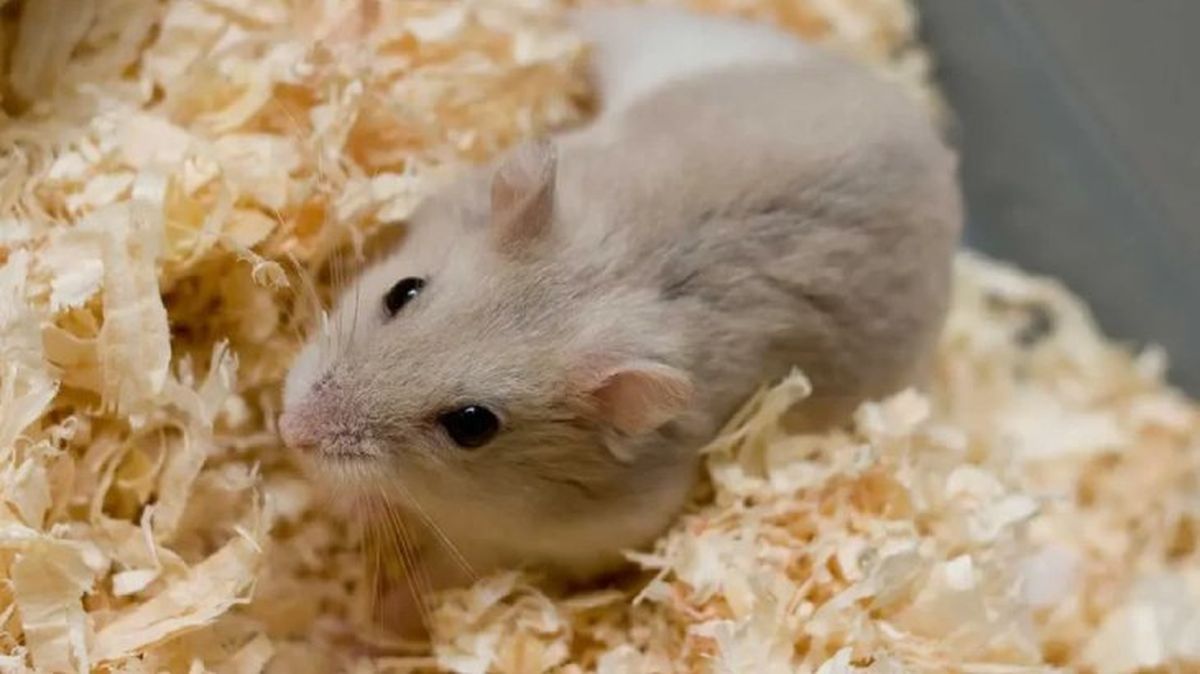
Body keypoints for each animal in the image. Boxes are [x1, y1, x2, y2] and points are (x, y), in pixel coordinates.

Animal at [279, 5, 962, 627]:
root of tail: (933, 144)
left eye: (472, 425)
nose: (289, 430)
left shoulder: (537, 544)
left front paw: (370, 622)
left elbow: (442, 572)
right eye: (403, 292)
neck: (614, 273)